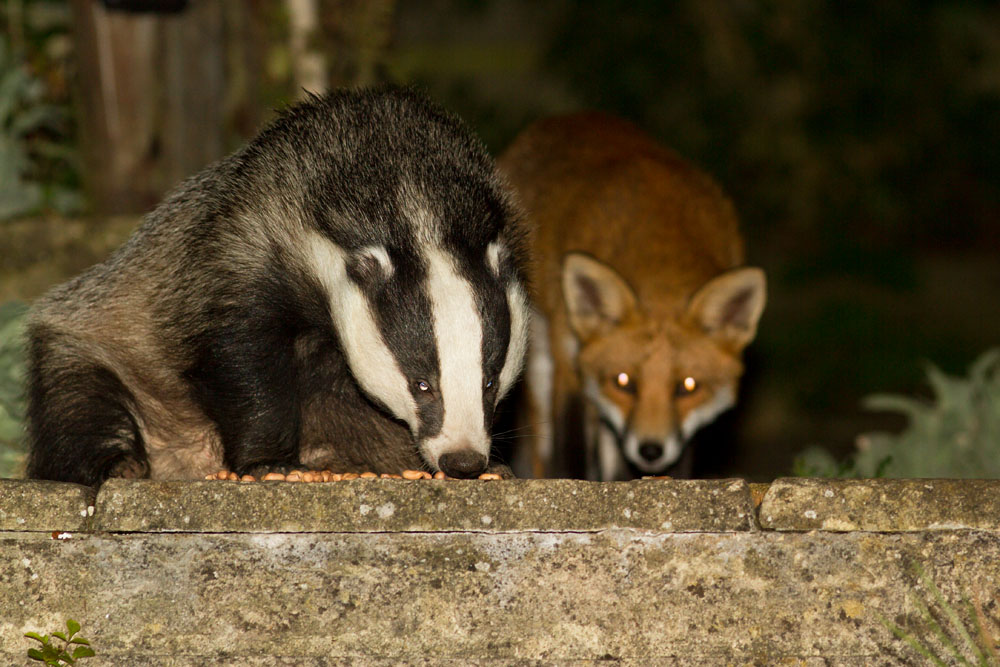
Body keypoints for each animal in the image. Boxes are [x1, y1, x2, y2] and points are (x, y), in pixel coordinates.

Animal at [498, 112, 766, 481]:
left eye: (688, 387)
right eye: (624, 382)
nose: (650, 451)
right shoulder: (571, 362)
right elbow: (571, 451)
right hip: (539, 356)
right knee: (544, 446)